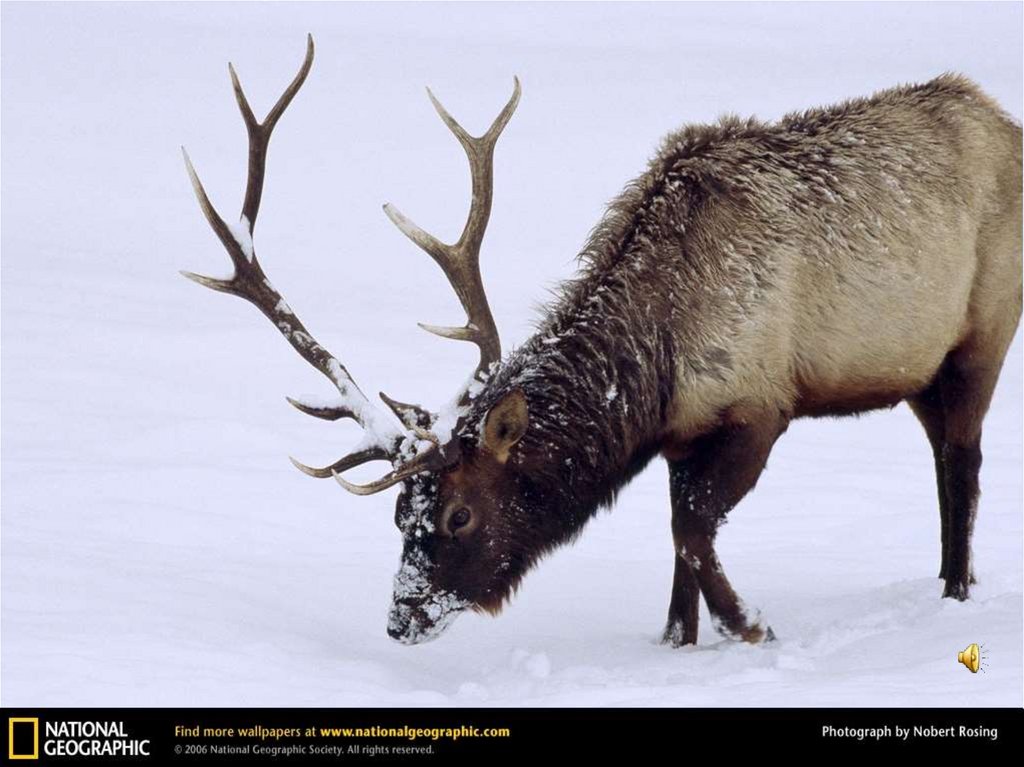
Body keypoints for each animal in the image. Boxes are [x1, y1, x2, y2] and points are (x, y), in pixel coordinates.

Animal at [182, 36, 1022, 647]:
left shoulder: (760, 403)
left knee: (964, 462)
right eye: (397, 514)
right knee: (943, 460)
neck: (653, 372)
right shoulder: (682, 435)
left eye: (459, 516)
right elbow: (679, 535)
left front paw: (750, 624)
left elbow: (692, 529)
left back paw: (956, 592)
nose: (401, 620)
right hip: (919, 371)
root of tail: (1006, 123)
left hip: (984, 333)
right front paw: (679, 637)